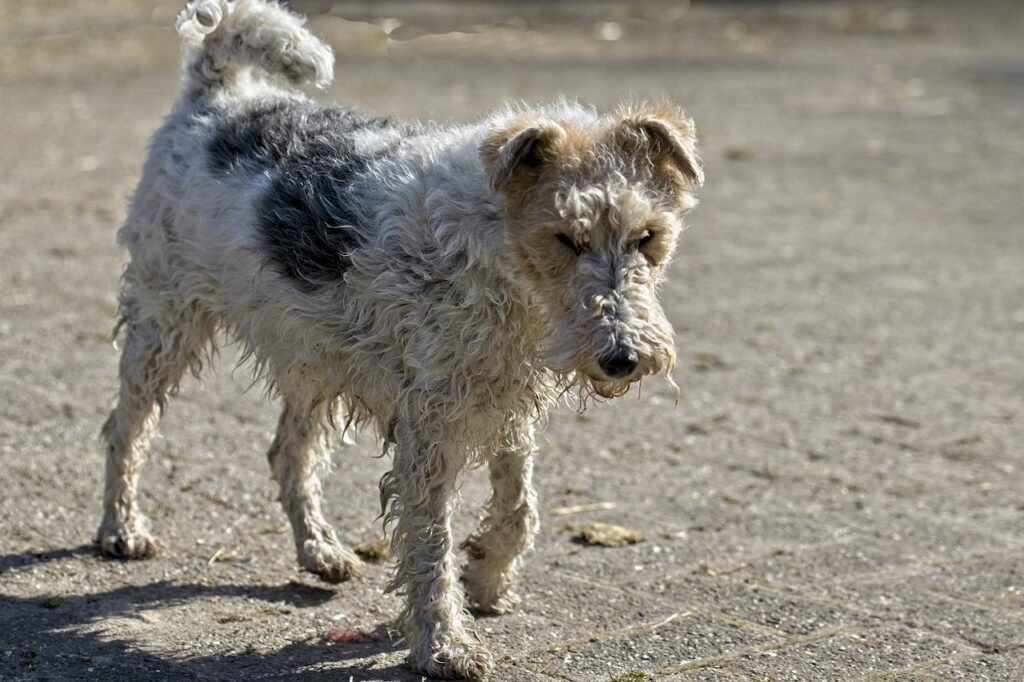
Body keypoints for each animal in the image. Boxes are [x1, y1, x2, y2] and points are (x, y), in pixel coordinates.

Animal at [96, 1, 700, 675]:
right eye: (566, 238)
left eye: (647, 236)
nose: (623, 357)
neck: (495, 252)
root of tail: (220, 95)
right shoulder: (430, 424)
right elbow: (431, 542)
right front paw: (445, 644)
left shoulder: (502, 395)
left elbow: (519, 507)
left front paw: (487, 578)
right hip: (165, 319)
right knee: (127, 428)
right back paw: (122, 530)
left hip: (311, 354)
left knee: (288, 453)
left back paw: (321, 550)